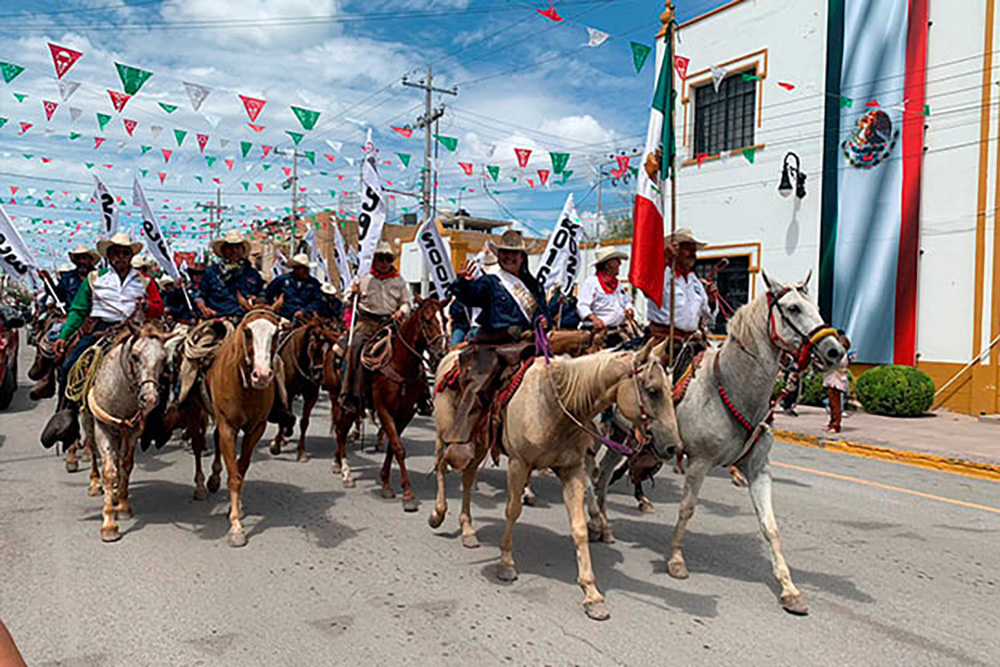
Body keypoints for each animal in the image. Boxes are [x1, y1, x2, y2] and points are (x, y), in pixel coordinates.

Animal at [78, 324, 172, 544]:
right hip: (88, 422)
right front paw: (109, 525)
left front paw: (122, 506)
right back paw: (95, 484)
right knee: (93, 452)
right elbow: (109, 471)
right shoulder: (102, 429)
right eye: (135, 356)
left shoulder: (133, 431)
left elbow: (126, 466)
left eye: (164, 359)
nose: (150, 399)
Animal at [268, 318, 342, 460]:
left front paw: (301, 451)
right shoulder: (287, 392)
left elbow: (304, 422)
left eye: (329, 349)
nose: (319, 376)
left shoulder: (311, 395)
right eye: (313, 347)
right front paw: (276, 445)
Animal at [328, 298, 446, 512]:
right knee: (341, 430)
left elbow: (393, 446)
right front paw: (408, 494)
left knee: (341, 429)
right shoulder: (384, 409)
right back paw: (345, 472)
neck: (400, 363)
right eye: (426, 320)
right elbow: (399, 448)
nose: (440, 355)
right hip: (341, 400)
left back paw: (338, 463)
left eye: (445, 320)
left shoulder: (405, 413)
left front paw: (386, 483)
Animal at [430, 342, 680, 624]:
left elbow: (579, 527)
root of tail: (451, 353)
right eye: (653, 390)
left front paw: (592, 594)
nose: (673, 447)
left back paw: (468, 530)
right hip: (447, 434)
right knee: (442, 466)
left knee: (468, 478)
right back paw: (437, 514)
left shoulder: (572, 470)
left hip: (480, 442)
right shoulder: (519, 463)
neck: (556, 405)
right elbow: (512, 511)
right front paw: (506, 563)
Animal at [588, 272, 848, 616]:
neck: (731, 386)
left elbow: (770, 526)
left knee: (603, 476)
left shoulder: (758, 469)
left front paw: (789, 588)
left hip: (619, 435)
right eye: (793, 308)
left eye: (816, 307)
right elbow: (686, 509)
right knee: (591, 474)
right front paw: (676, 560)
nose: (834, 351)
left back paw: (604, 527)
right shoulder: (699, 462)